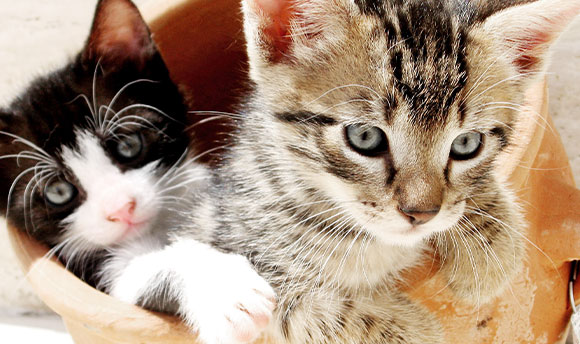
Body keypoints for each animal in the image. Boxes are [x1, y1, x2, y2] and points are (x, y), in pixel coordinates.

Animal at [0, 0, 276, 342]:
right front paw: (225, 290)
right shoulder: (101, 272)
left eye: (128, 144)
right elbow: (145, 270)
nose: (121, 208)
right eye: (58, 191)